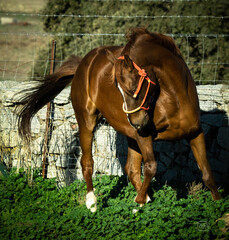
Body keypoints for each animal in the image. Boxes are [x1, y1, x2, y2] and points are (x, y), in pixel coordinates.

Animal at [16, 27, 220, 212]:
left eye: (134, 86)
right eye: (118, 89)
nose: (136, 122)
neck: (174, 97)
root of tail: (83, 63)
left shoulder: (195, 133)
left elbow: (207, 173)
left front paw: (217, 206)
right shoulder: (144, 136)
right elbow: (151, 167)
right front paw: (138, 203)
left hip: (131, 136)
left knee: (131, 169)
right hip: (88, 123)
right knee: (88, 163)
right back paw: (92, 203)